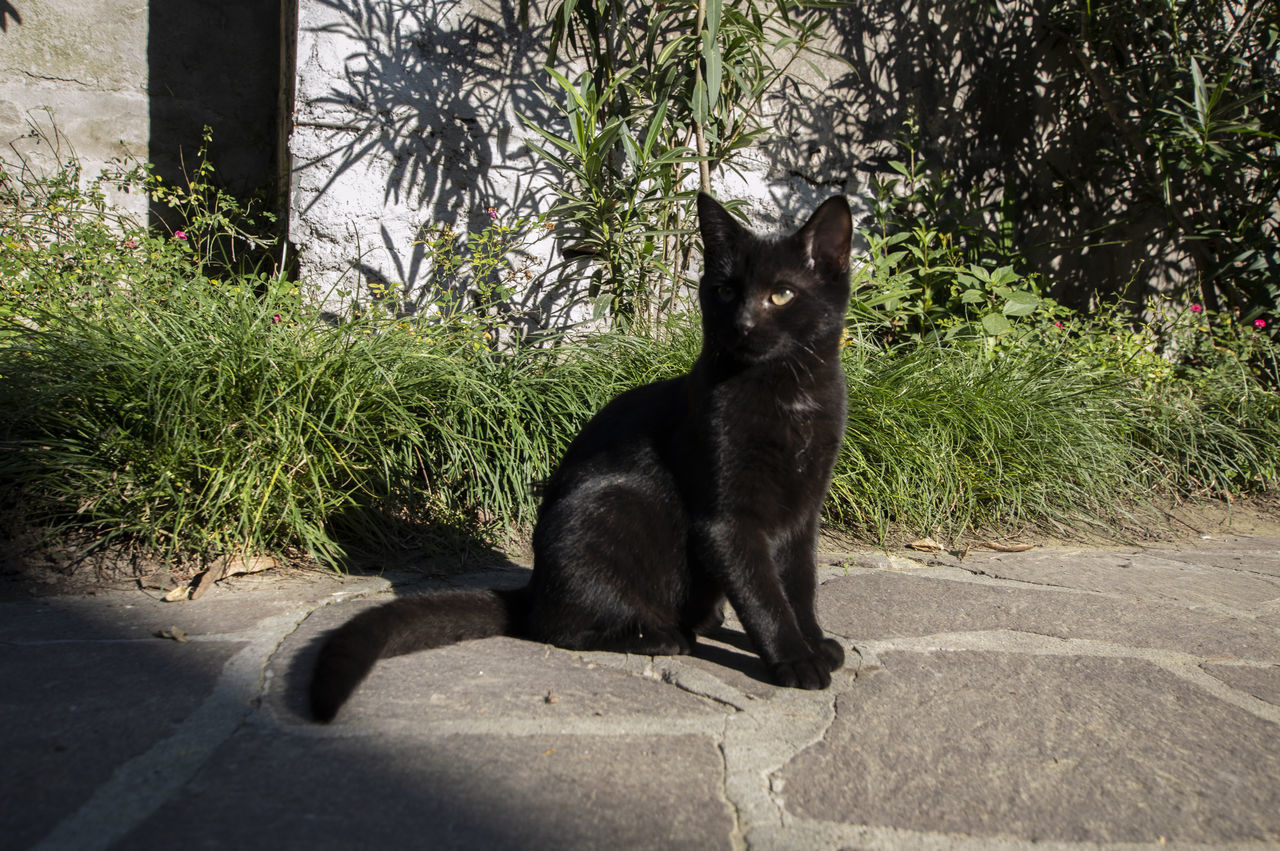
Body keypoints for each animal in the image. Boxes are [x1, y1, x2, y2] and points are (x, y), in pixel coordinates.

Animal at [308, 194, 849, 721]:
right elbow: (763, 595)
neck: (790, 396)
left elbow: (798, 585)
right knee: (560, 628)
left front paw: (815, 642)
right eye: (726, 291)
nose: (742, 324)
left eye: (781, 294)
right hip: (609, 504)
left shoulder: (803, 513)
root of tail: (534, 587)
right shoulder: (728, 520)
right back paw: (662, 636)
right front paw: (795, 660)